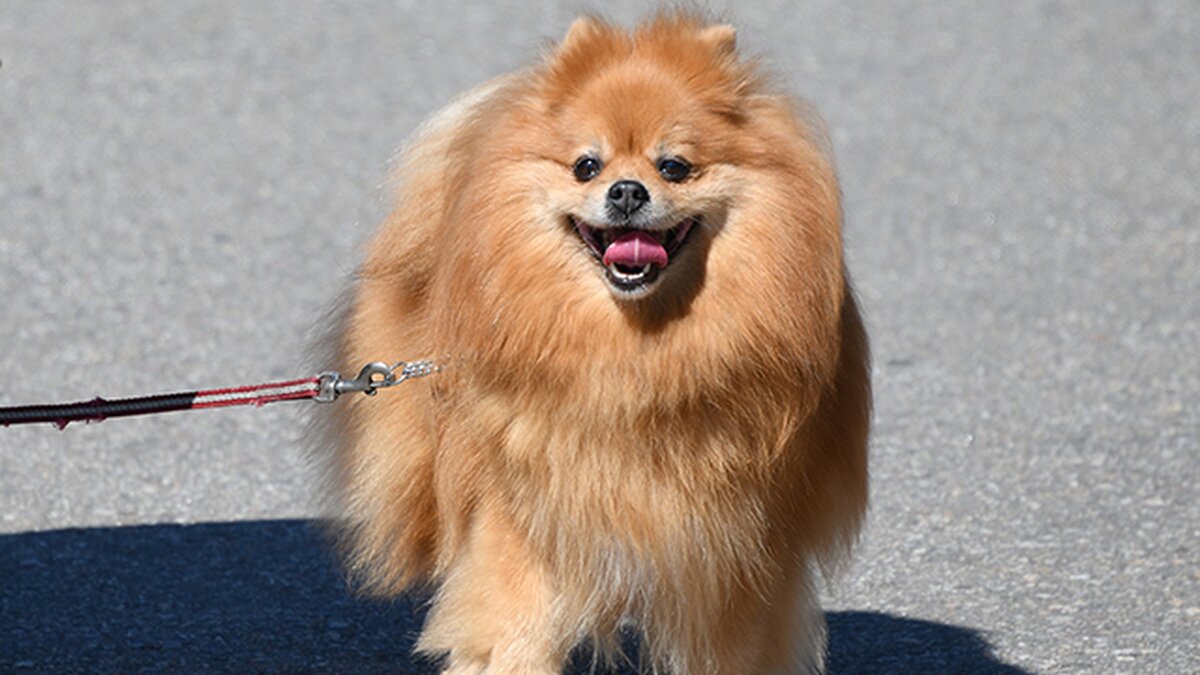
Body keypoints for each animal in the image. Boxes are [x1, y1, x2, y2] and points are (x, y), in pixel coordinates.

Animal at [314, 11, 868, 672]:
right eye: (586, 165)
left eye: (674, 166)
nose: (627, 190)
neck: (631, 354)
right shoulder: (526, 519)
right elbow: (517, 630)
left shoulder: (733, 548)